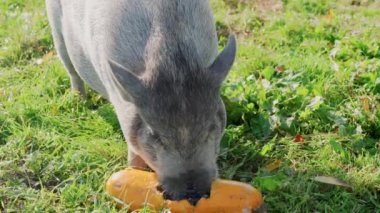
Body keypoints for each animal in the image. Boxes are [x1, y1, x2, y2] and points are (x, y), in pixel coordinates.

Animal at [44, 0, 235, 204]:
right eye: (155, 136)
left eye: (210, 128)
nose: (193, 194)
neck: (172, 63)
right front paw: (136, 172)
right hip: (56, 29)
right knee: (71, 69)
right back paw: (78, 101)